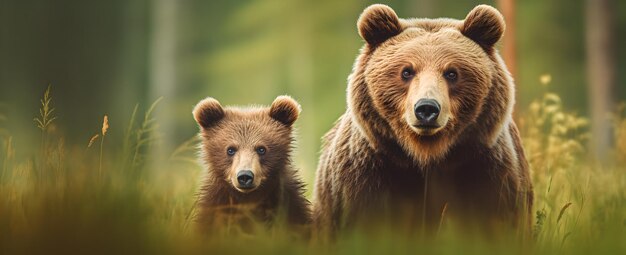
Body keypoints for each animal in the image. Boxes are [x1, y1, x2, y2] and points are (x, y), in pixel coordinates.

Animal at [312, 3, 532, 236]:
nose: (426, 108)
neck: (426, 155)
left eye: (451, 73)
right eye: (406, 71)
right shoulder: (367, 174)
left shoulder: (485, 169)